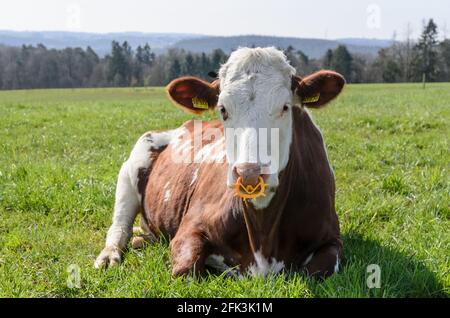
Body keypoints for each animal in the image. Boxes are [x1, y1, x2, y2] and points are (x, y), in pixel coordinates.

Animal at [94, 46, 344, 278]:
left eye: (285, 106)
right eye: (223, 109)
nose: (249, 173)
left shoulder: (332, 239)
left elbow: (317, 271)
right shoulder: (189, 229)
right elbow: (186, 270)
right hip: (130, 169)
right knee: (119, 227)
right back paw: (109, 255)